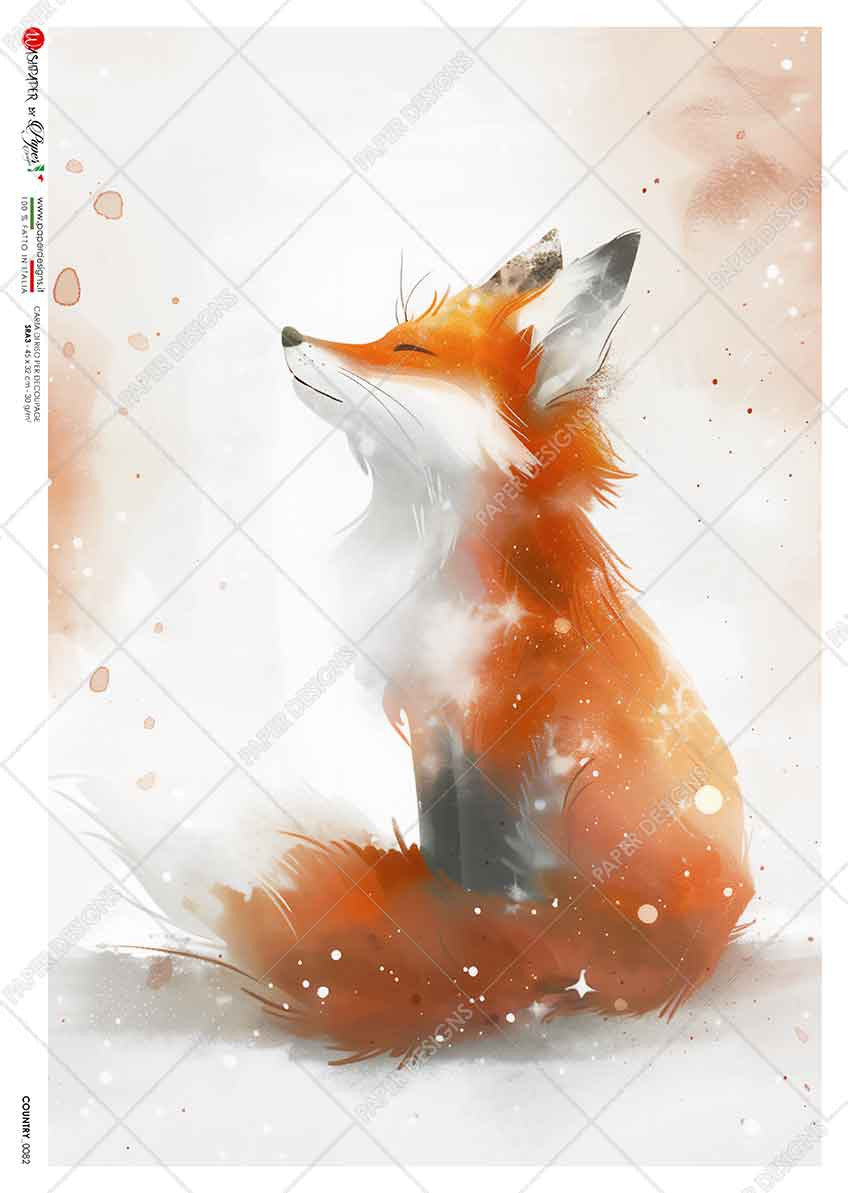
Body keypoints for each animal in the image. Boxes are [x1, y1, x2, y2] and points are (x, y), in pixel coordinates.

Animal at [204, 228, 754, 1064]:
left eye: (409, 348)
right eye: (388, 330)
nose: (290, 333)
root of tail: (713, 940)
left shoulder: (505, 729)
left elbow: (486, 884)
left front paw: (467, 965)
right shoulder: (436, 729)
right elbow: (443, 852)